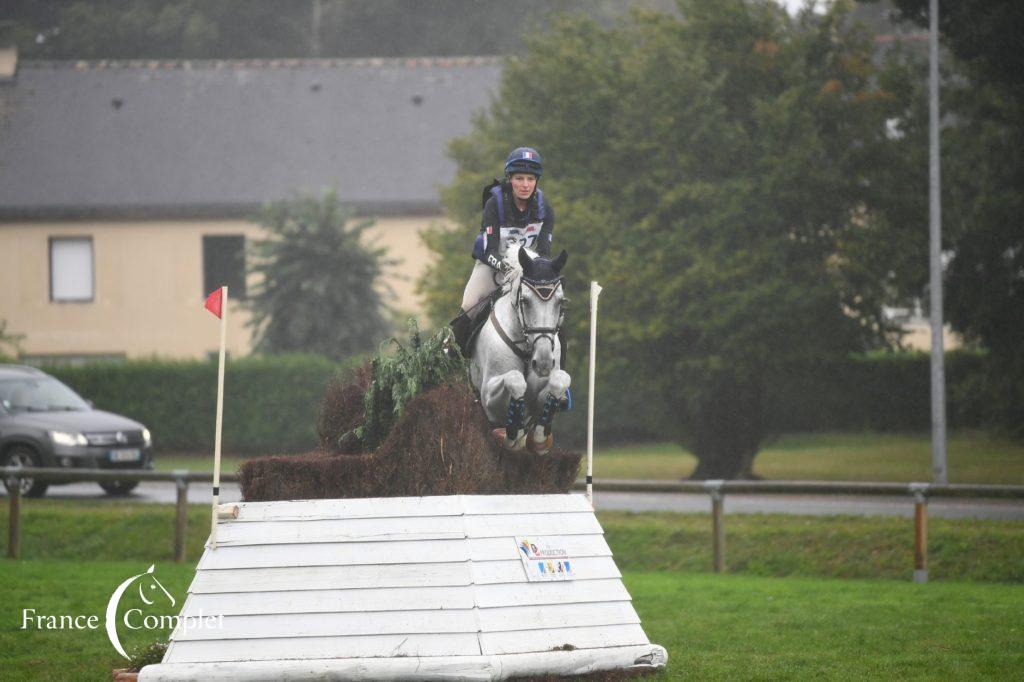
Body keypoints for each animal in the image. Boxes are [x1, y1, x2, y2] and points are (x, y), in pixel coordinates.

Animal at [468, 241, 573, 454]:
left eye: (560, 302)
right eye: (525, 300)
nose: (543, 363)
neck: (526, 346)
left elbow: (560, 380)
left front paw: (539, 438)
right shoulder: (488, 400)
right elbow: (515, 380)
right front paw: (511, 434)